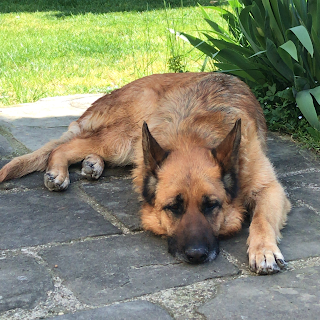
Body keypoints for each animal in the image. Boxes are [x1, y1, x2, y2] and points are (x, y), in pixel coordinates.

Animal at [0, 73, 290, 276]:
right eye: (173, 207)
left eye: (211, 206)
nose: (196, 255)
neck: (192, 137)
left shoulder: (270, 189)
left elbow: (262, 219)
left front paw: (263, 250)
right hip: (125, 139)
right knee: (63, 147)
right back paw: (58, 171)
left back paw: (92, 164)